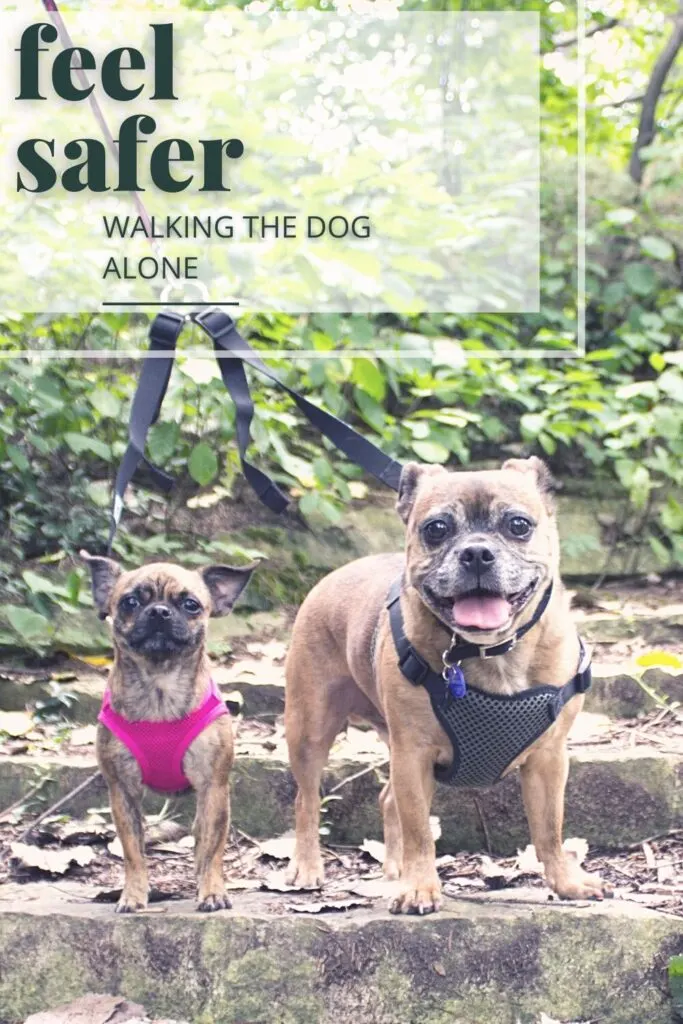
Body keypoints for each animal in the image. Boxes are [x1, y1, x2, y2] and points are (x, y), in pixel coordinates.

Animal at [81, 557, 255, 917]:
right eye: (130, 602)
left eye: (191, 605)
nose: (159, 611)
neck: (159, 686)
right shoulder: (123, 792)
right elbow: (133, 851)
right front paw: (133, 895)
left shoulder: (213, 788)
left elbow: (212, 849)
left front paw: (212, 891)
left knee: (202, 842)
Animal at [284, 460, 610, 917]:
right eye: (436, 529)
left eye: (518, 525)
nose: (476, 553)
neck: (492, 651)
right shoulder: (414, 756)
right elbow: (420, 832)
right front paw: (420, 888)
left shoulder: (549, 760)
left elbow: (549, 829)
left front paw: (567, 882)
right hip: (310, 728)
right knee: (308, 800)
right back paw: (308, 867)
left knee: (387, 800)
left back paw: (393, 869)